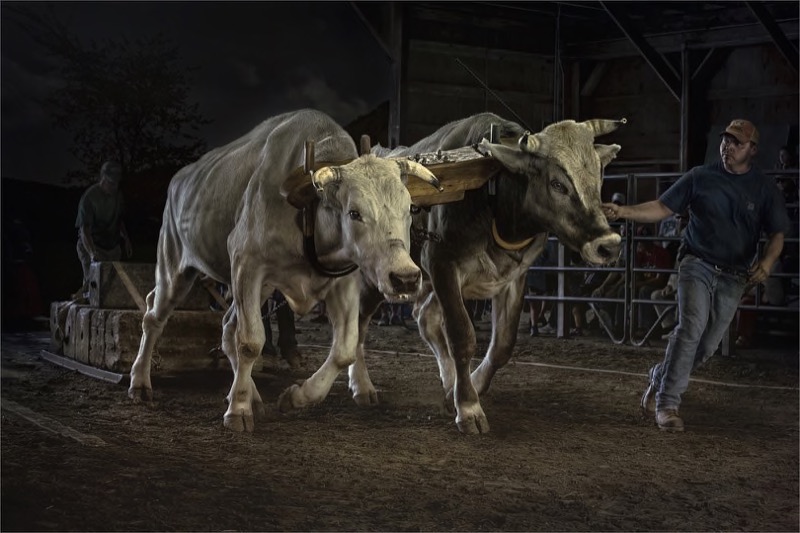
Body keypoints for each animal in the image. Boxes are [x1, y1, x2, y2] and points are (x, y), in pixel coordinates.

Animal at [127, 109, 441, 432]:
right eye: (354, 212)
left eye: (410, 209)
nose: (405, 277)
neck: (306, 218)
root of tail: (179, 178)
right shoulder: (246, 264)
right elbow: (251, 342)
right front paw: (238, 410)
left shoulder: (344, 282)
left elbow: (344, 349)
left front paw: (297, 397)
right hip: (174, 265)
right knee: (154, 317)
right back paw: (140, 382)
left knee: (227, 328)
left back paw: (251, 394)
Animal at [370, 112, 625, 434]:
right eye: (557, 184)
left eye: (598, 178)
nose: (608, 245)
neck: (493, 199)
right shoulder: (442, 265)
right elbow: (462, 337)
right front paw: (468, 407)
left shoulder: (513, 277)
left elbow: (503, 344)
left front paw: (467, 389)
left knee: (425, 317)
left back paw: (449, 383)